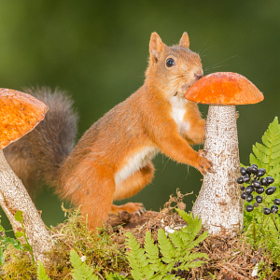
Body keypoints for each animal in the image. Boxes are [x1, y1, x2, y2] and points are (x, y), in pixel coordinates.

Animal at [4, 32, 211, 230]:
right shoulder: (152, 117)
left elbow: (193, 132)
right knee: (91, 218)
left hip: (138, 175)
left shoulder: (187, 122)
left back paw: (122, 208)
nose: (199, 74)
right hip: (98, 179)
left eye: (197, 56)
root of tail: (63, 179)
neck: (176, 100)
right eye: (169, 62)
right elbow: (171, 143)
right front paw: (197, 159)